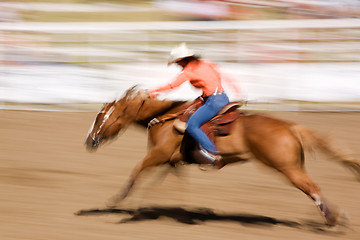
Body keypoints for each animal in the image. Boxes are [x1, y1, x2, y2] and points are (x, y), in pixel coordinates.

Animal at [85, 85, 360, 226]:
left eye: (101, 117)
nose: (89, 141)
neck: (165, 118)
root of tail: (290, 127)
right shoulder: (171, 161)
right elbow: (169, 183)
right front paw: (179, 213)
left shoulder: (157, 155)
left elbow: (136, 172)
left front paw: (116, 201)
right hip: (292, 165)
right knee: (312, 187)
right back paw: (337, 216)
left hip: (286, 167)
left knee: (312, 187)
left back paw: (332, 219)